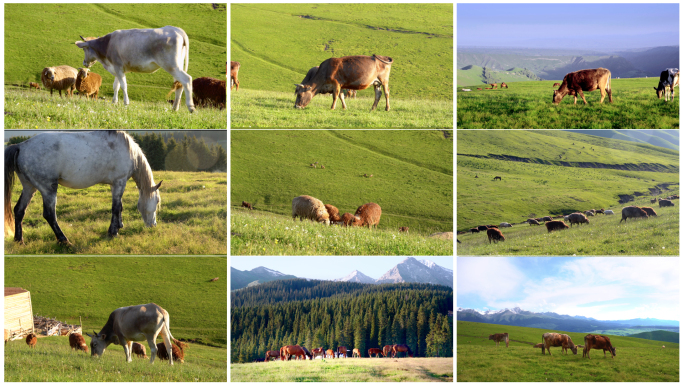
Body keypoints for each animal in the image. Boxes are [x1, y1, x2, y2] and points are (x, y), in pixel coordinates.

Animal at [5, 132, 162, 244]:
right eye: (157, 201)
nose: (154, 225)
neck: (129, 151)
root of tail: (21, 146)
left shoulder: (115, 184)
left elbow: (119, 207)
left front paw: (119, 226)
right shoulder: (119, 182)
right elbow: (116, 207)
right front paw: (113, 232)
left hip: (29, 187)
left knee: (19, 210)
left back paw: (19, 240)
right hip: (48, 189)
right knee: (49, 215)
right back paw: (64, 240)